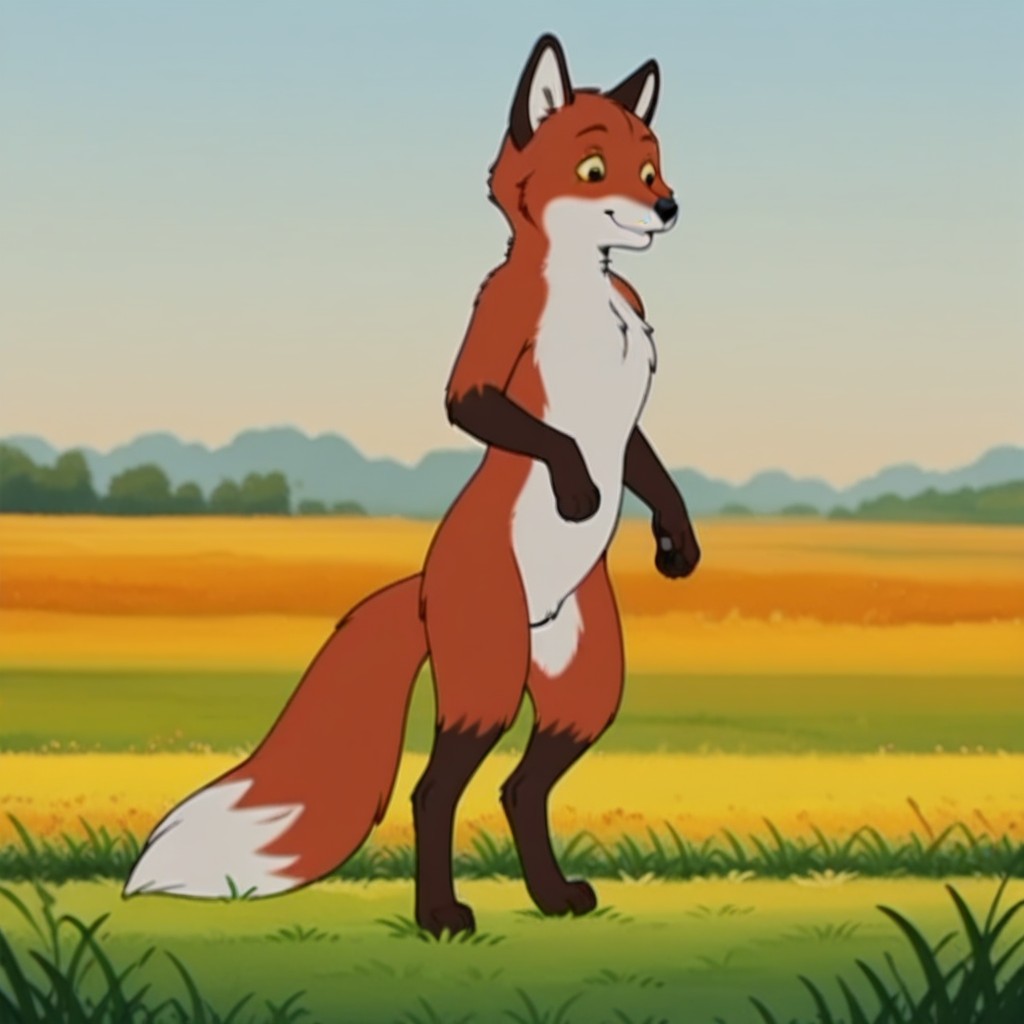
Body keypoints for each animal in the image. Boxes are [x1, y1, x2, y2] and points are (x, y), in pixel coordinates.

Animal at [123, 33, 701, 937]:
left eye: (652, 169)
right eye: (596, 168)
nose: (670, 207)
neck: (583, 295)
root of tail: (426, 586)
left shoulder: (631, 407)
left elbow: (645, 465)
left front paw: (677, 537)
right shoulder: (489, 351)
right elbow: (532, 429)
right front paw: (577, 488)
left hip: (584, 691)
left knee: (518, 787)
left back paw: (552, 899)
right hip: (489, 684)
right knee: (435, 791)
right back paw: (441, 916)